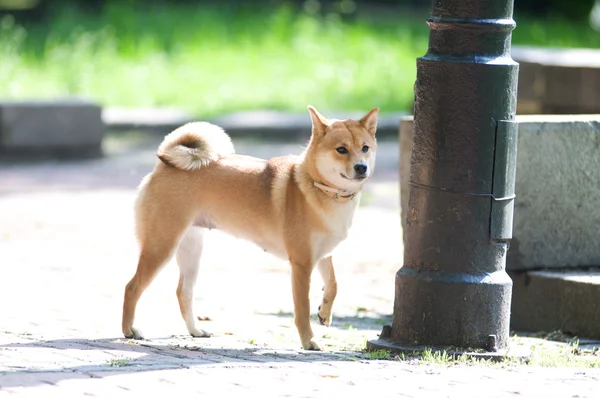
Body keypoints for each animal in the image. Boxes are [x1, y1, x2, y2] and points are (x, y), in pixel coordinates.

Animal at [120, 105, 380, 348]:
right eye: (341, 149)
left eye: (365, 148)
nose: (361, 167)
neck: (321, 190)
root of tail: (164, 163)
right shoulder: (302, 264)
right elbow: (302, 310)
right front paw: (309, 341)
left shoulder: (323, 254)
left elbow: (333, 284)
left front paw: (325, 312)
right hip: (161, 247)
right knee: (132, 287)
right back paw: (129, 330)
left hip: (190, 250)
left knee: (183, 292)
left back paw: (195, 330)